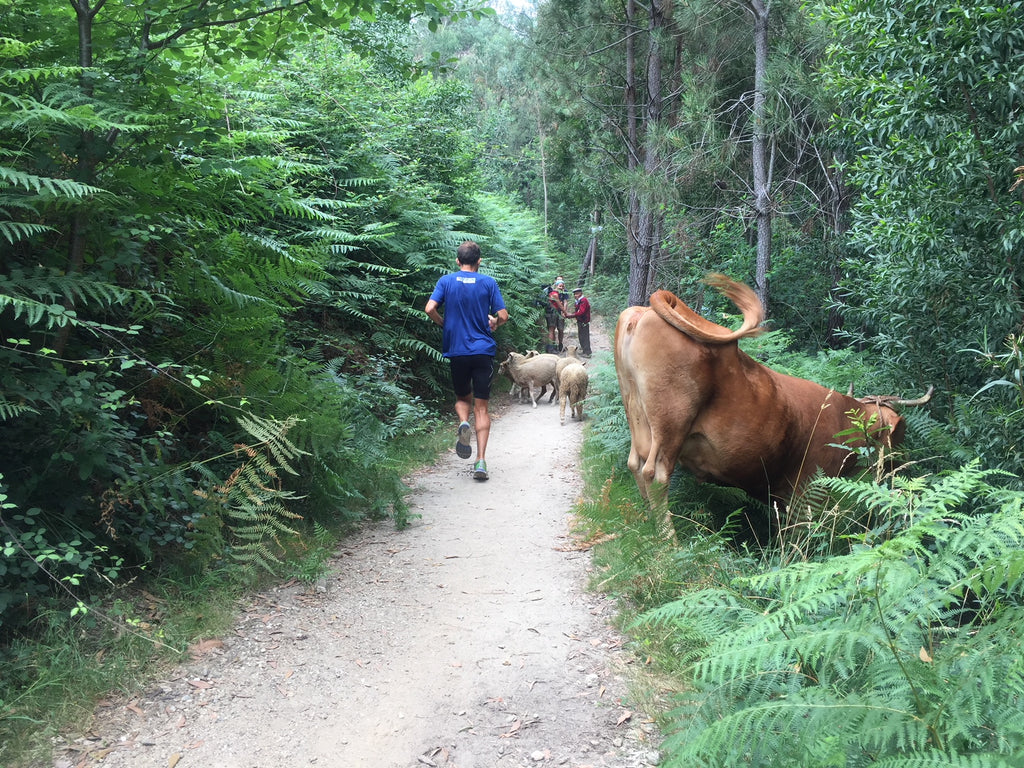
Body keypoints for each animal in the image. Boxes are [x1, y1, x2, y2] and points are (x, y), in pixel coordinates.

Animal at [610, 276, 933, 536]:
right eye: (899, 432)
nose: (898, 463)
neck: (844, 417)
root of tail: (645, 310)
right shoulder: (808, 489)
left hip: (636, 413)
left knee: (635, 464)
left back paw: (647, 523)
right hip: (671, 423)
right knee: (655, 474)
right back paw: (669, 541)